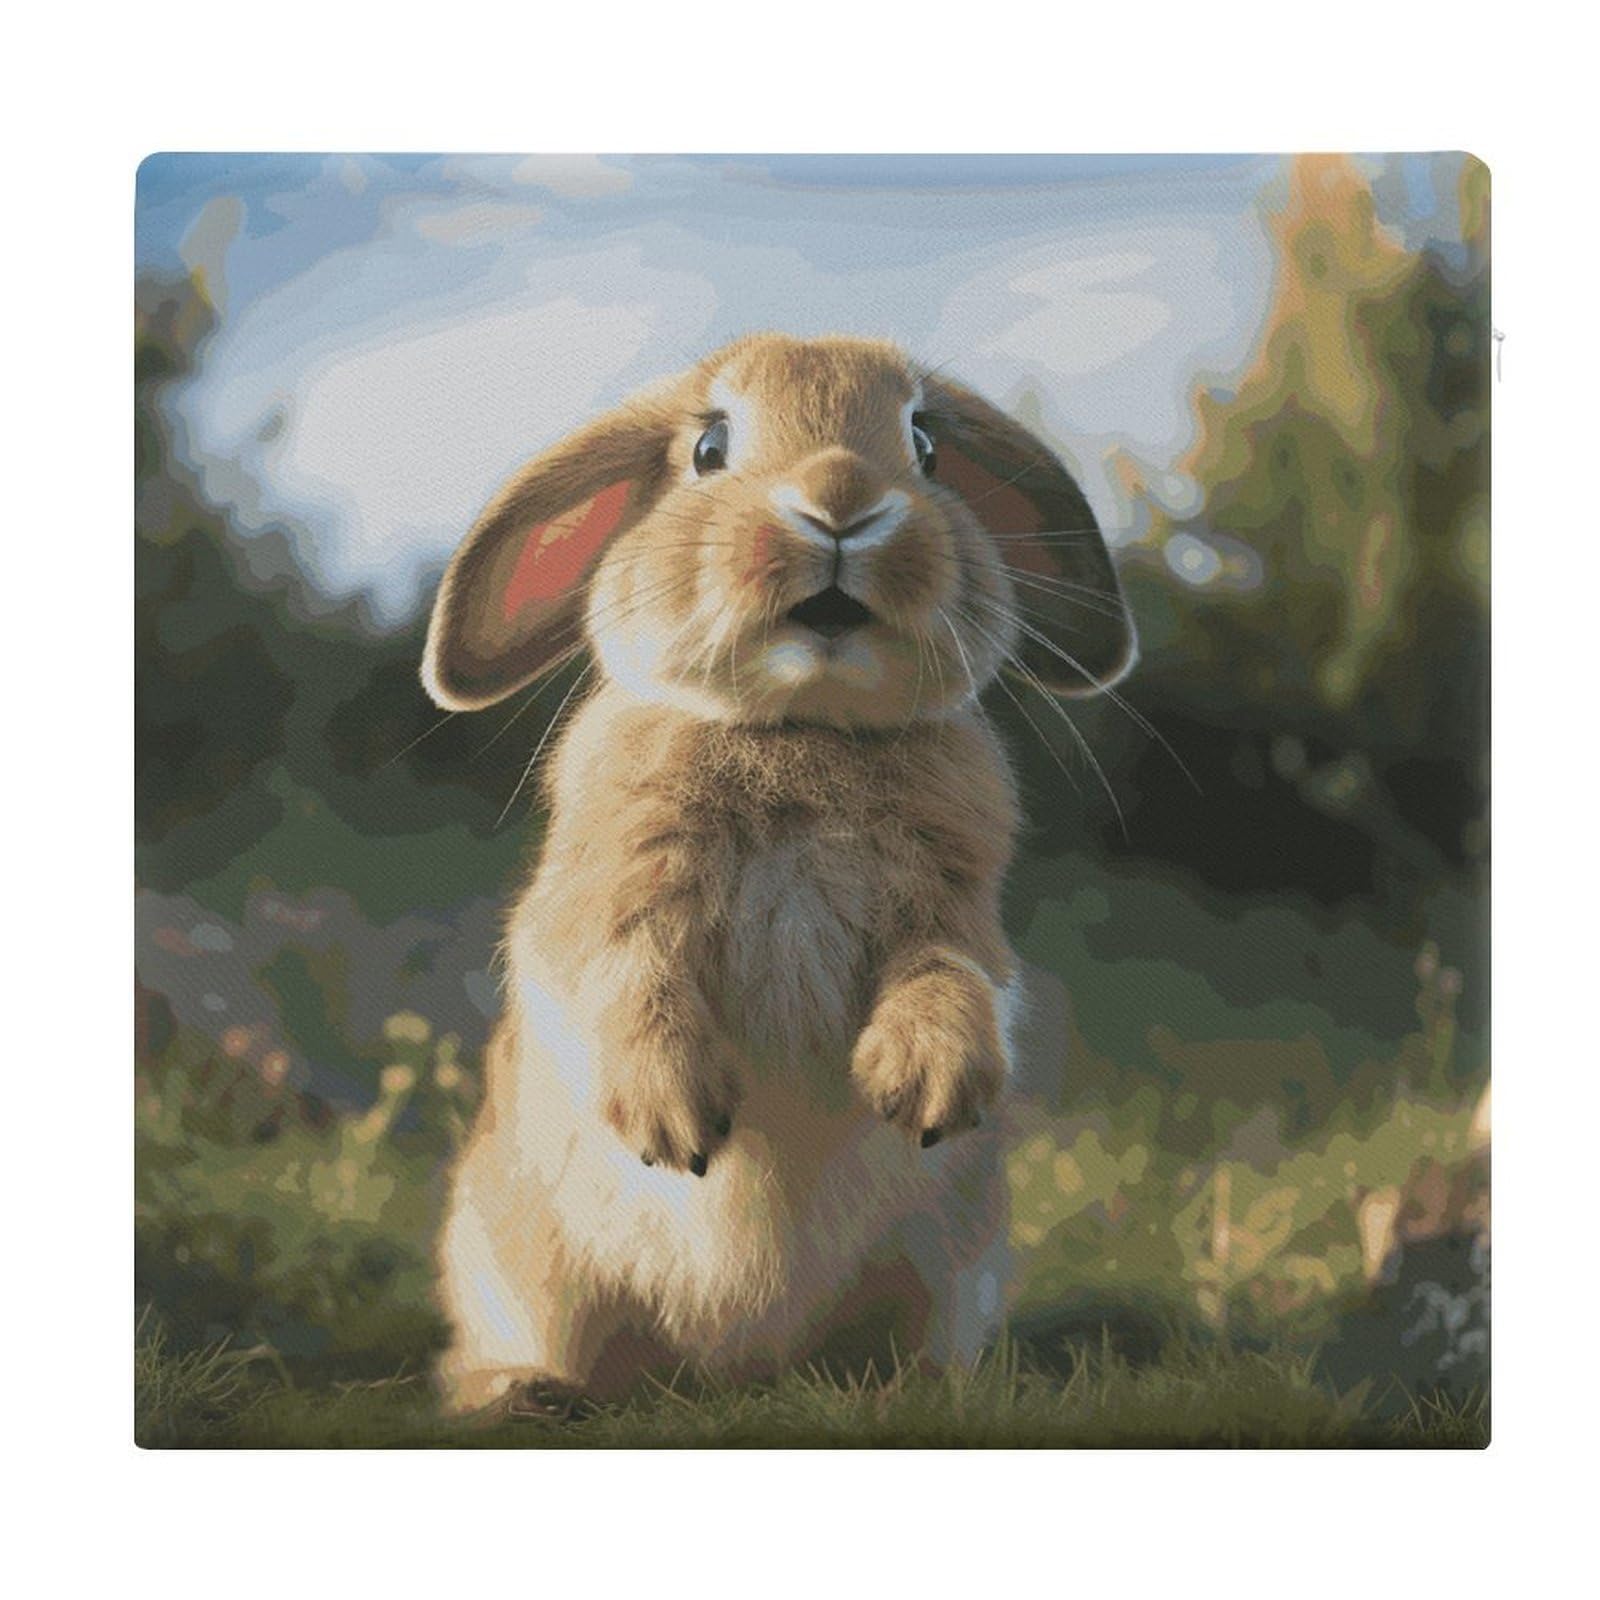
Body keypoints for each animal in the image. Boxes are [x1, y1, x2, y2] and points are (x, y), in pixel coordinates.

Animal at [420, 333, 1135, 1414]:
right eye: (710, 447)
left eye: (925, 445)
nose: (841, 500)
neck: (804, 728)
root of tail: (739, 1369)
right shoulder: (600, 908)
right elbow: (623, 980)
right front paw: (674, 1122)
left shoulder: (955, 915)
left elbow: (953, 980)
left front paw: (923, 1087)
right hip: (515, 1270)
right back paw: (523, 1394)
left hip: (954, 1269)